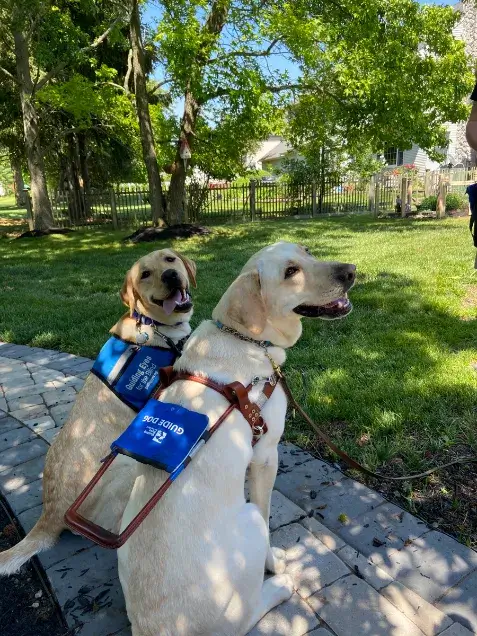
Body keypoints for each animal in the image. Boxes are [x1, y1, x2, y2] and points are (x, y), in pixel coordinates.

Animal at [0, 248, 195, 576]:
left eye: (169, 259)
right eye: (145, 274)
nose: (170, 276)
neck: (153, 326)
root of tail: (50, 514)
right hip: (124, 466)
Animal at [115, 243, 354, 636]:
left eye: (306, 251)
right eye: (290, 272)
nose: (351, 271)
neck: (245, 336)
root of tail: (158, 627)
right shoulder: (265, 455)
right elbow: (268, 516)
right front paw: (274, 562)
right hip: (249, 525)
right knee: (248, 612)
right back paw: (279, 586)